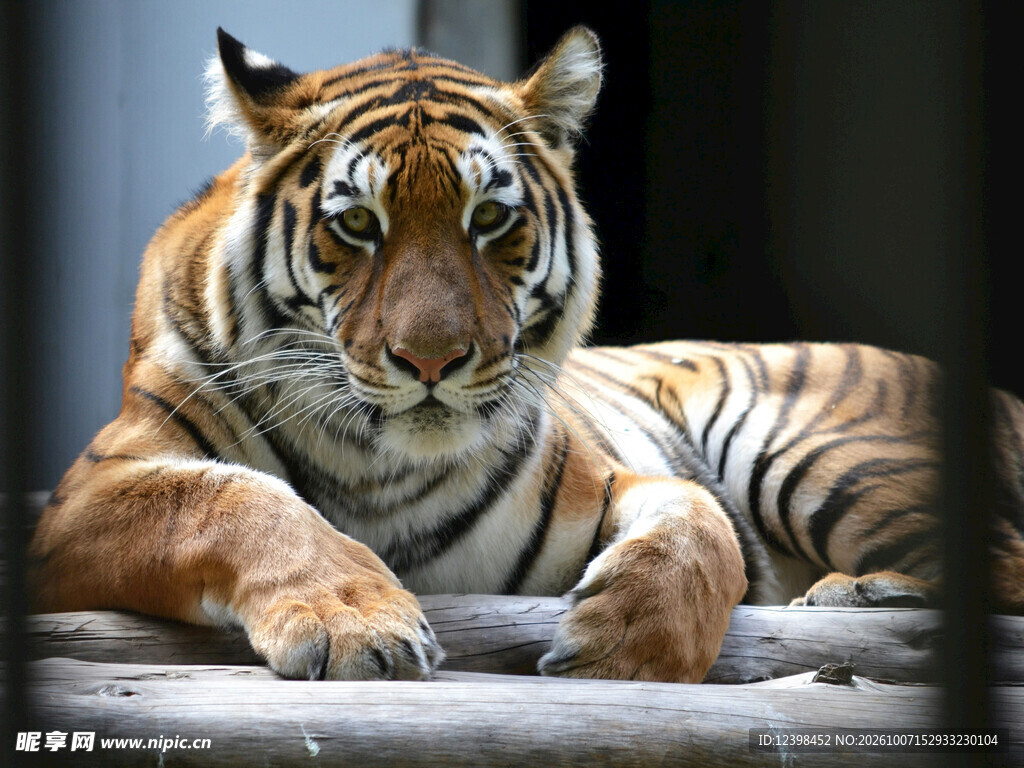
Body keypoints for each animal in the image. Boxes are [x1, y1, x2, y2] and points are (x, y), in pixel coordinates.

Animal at [29, 26, 1024, 684]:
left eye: (491, 217)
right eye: (358, 224)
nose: (431, 360)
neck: (379, 469)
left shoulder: (613, 478)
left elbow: (699, 523)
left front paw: (629, 648)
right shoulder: (90, 495)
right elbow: (233, 502)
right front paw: (356, 626)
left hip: (820, 451)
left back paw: (864, 596)